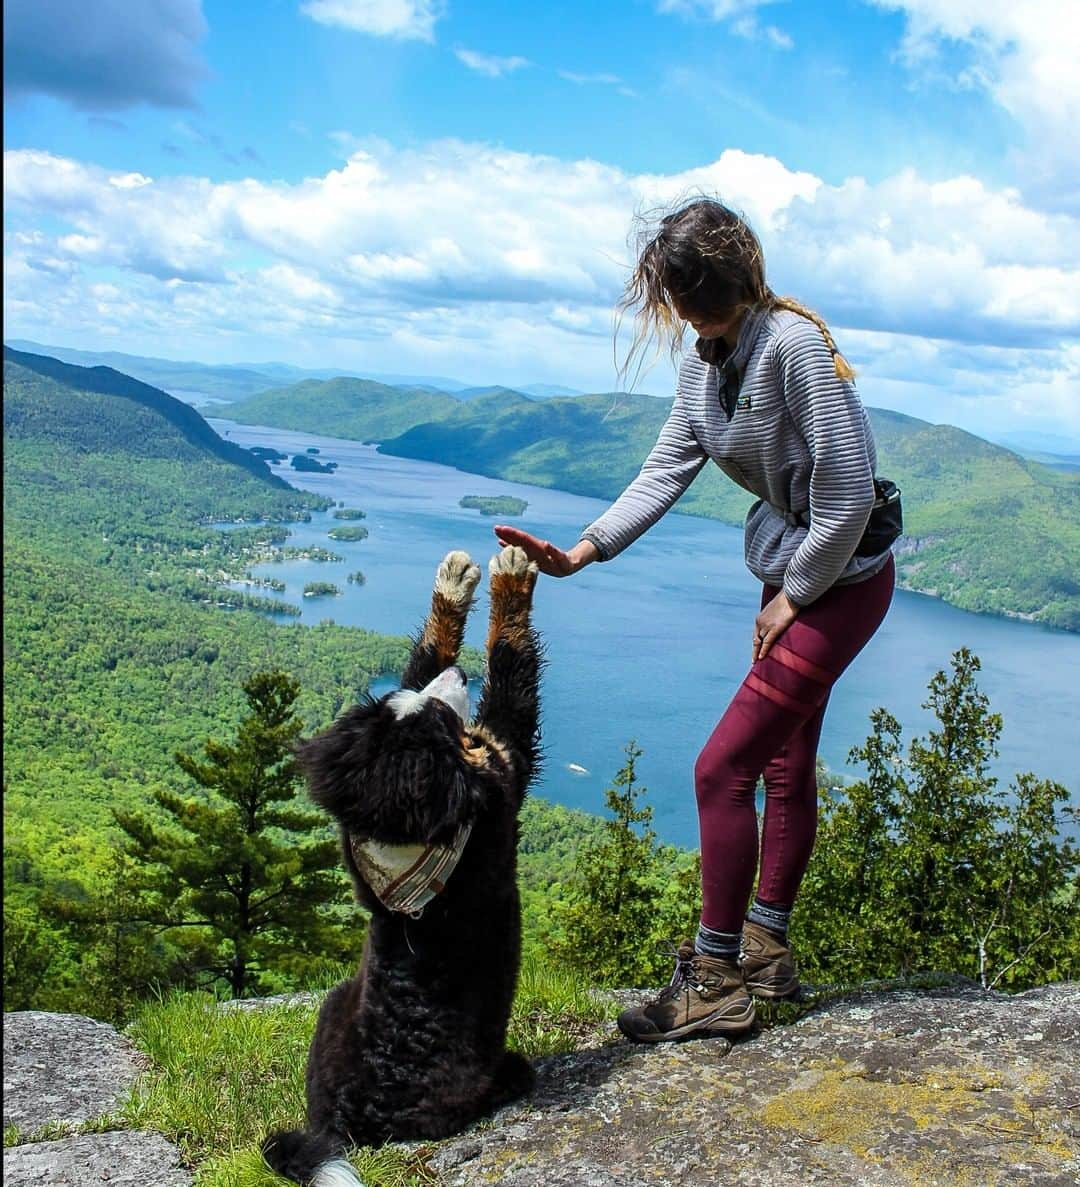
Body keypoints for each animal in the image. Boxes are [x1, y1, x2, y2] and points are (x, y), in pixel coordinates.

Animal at [262, 548, 541, 1187]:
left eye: (409, 700)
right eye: (439, 717)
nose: (460, 677)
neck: (407, 844)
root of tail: (342, 1127)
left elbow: (431, 647)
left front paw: (452, 584)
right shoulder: (502, 766)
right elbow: (510, 667)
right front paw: (511, 573)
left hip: (331, 1002)